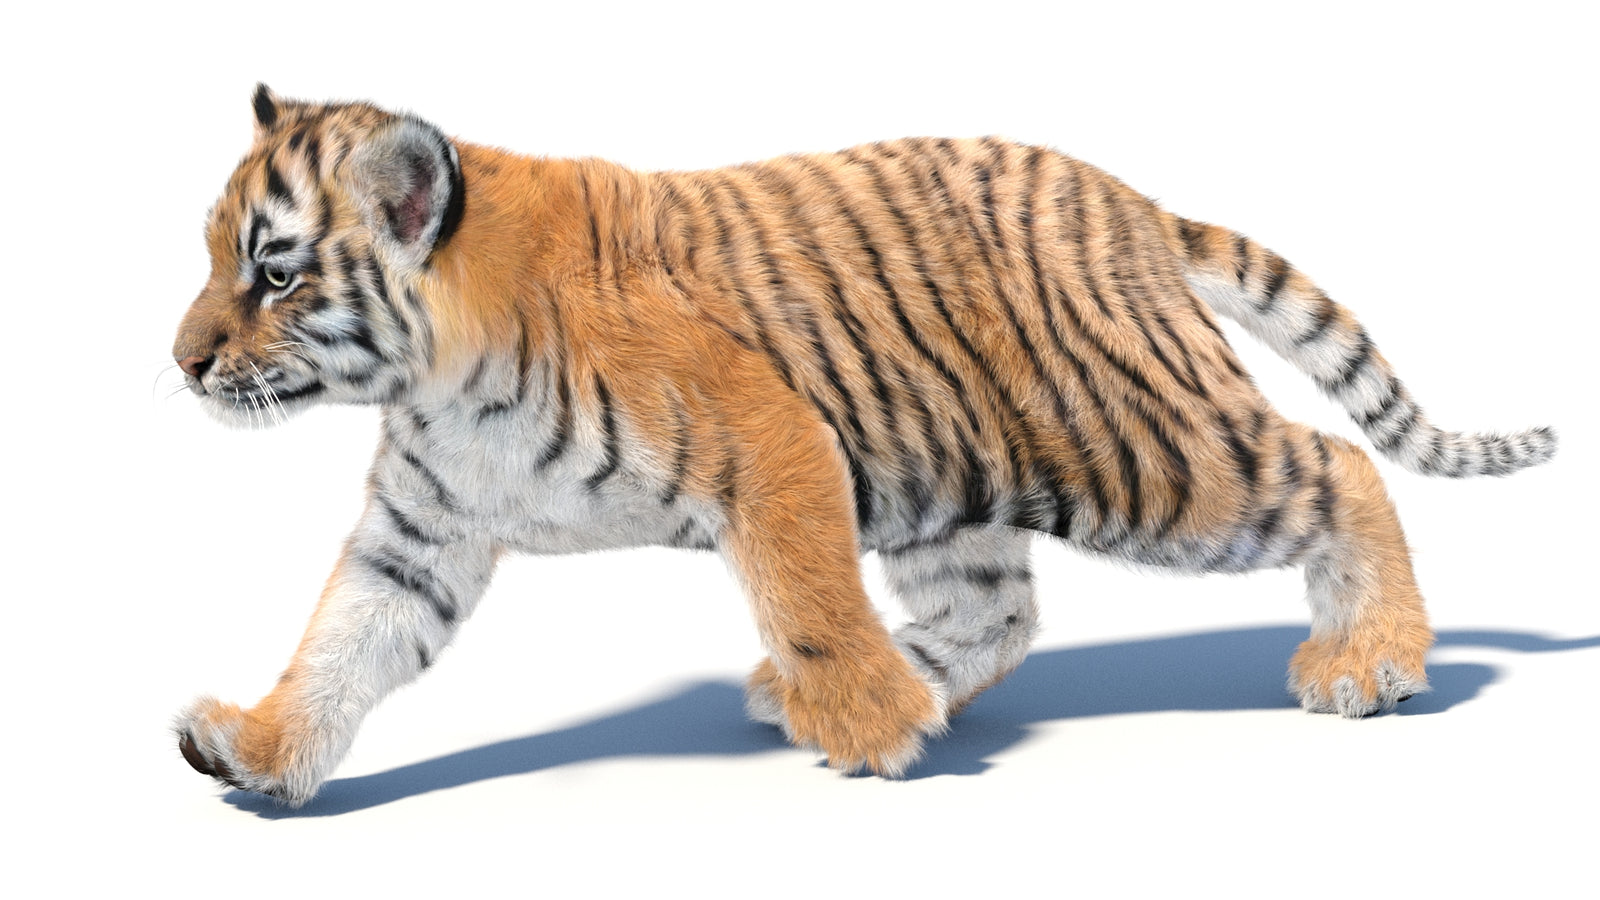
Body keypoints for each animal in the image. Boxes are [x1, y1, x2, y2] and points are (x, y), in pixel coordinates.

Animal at [172, 85, 1556, 807]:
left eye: (275, 272)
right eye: (214, 254)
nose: (182, 361)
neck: (441, 375)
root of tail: (1125, 202)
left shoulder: (772, 437)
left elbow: (808, 596)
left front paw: (868, 722)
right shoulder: (421, 529)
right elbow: (344, 643)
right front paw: (259, 750)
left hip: (1144, 455)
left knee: (1339, 466)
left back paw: (1370, 661)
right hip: (955, 486)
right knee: (1000, 613)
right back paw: (877, 690)